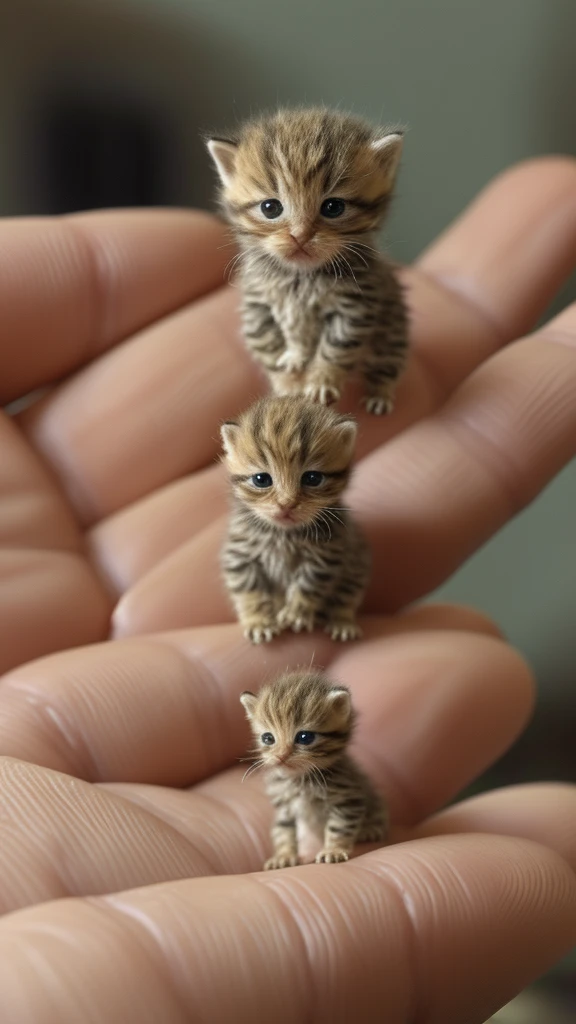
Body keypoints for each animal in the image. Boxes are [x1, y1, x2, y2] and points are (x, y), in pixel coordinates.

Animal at [206, 107, 407, 415]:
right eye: (270, 207)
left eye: (333, 207)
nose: (299, 235)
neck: (301, 277)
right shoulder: (258, 307)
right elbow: (270, 347)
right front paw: (289, 384)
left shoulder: (355, 306)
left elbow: (337, 347)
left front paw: (322, 380)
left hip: (393, 327)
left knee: (387, 360)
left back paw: (380, 393)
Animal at [219, 395, 366, 643]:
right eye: (261, 479)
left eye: (312, 478)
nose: (286, 503)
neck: (283, 534)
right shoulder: (239, 555)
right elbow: (248, 588)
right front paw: (259, 622)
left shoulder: (327, 555)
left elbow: (309, 584)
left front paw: (297, 613)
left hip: (356, 566)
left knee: (346, 594)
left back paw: (342, 622)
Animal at [237, 671, 385, 872]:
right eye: (268, 738)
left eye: (304, 737)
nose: (281, 756)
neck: (300, 779)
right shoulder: (284, 806)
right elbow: (283, 831)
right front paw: (284, 856)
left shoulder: (347, 799)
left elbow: (339, 827)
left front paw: (333, 850)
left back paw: (370, 829)